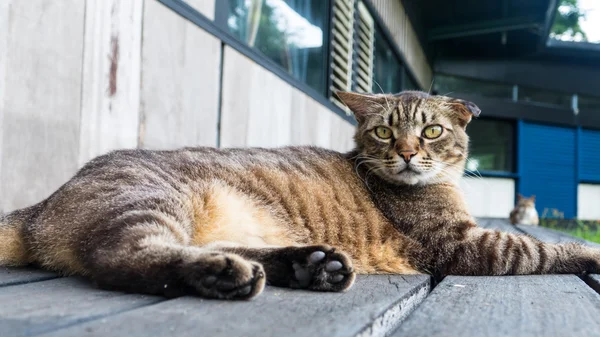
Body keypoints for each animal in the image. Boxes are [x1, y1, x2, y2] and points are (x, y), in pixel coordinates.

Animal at [1, 90, 600, 298]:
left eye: (431, 131)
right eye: (385, 132)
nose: (408, 153)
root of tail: (42, 205)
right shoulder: (463, 244)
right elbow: (542, 249)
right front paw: (587, 250)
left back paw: (309, 266)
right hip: (150, 203)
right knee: (124, 257)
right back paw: (223, 276)